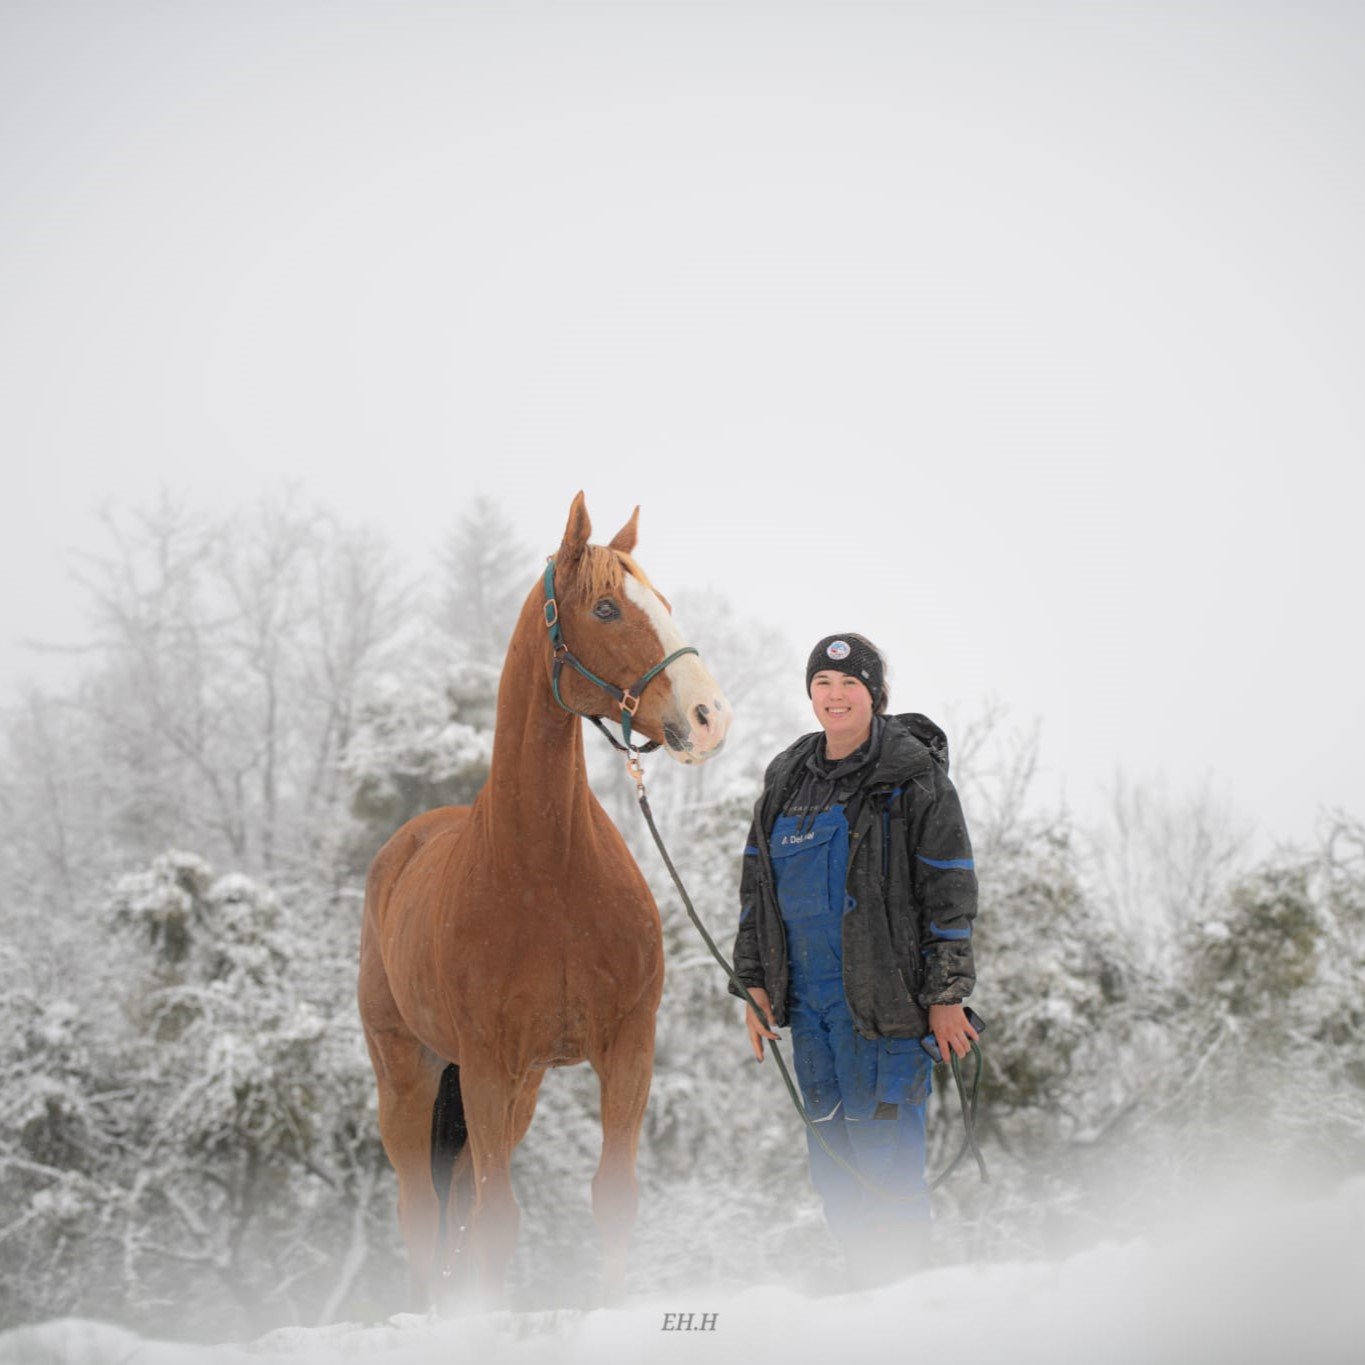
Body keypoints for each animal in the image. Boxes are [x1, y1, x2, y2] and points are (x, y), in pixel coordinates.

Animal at [357, 496, 731, 1304]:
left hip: (515, 1090)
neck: (547, 874)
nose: (710, 715)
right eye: (606, 607)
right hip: (409, 1075)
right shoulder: (486, 1063)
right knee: (421, 1207)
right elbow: (498, 1214)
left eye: (665, 603)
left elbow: (612, 1195)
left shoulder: (627, 1047)